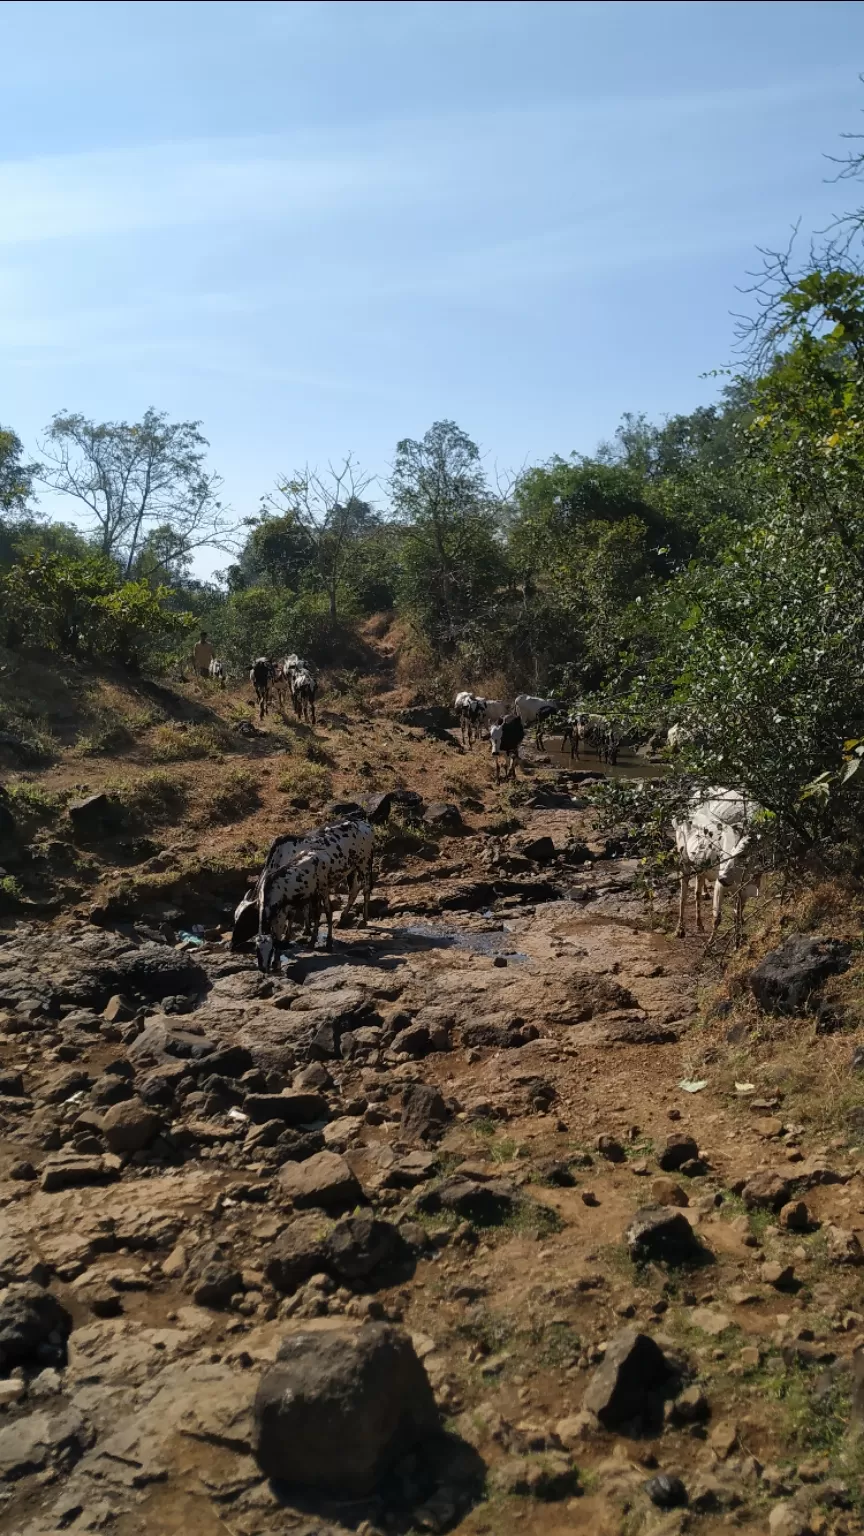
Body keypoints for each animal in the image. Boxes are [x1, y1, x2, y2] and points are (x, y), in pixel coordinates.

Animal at [670, 786, 756, 940]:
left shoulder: (744, 890)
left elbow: (738, 916)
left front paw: (738, 940)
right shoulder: (719, 886)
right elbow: (717, 917)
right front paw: (710, 944)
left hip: (700, 865)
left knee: (697, 892)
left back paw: (699, 924)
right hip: (684, 863)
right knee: (683, 895)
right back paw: (680, 929)